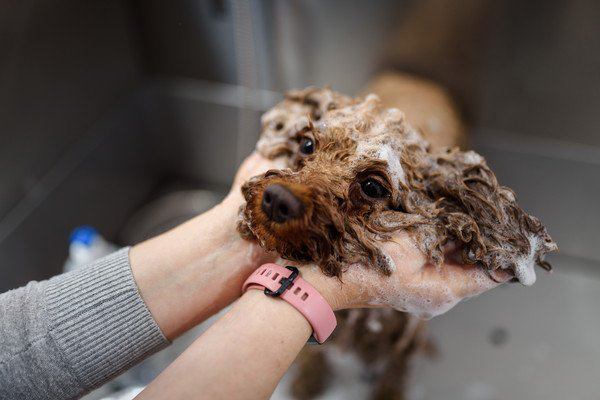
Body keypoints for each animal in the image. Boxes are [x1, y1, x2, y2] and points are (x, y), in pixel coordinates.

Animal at [237, 86, 556, 396]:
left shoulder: (403, 347)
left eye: (371, 186)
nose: (278, 200)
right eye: (306, 145)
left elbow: (395, 373)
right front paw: (309, 379)